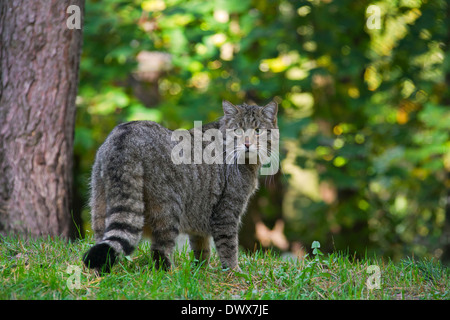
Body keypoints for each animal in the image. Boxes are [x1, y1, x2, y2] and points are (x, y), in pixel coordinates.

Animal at [81, 99, 278, 272]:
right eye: (237, 130)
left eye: (258, 131)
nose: (247, 143)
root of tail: (126, 134)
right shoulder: (226, 213)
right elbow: (228, 248)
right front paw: (234, 271)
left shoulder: (200, 217)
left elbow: (202, 249)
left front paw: (200, 270)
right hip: (168, 210)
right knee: (160, 251)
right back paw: (170, 273)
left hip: (100, 203)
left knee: (104, 242)